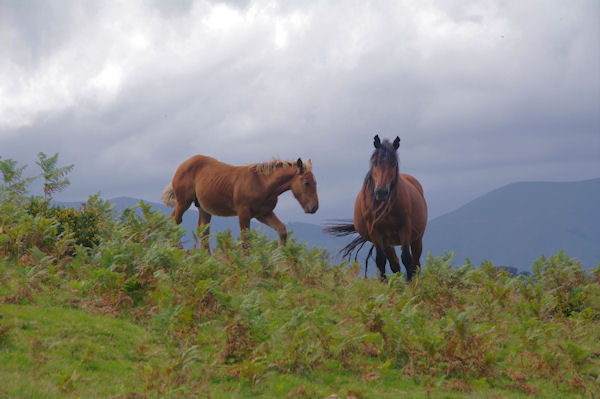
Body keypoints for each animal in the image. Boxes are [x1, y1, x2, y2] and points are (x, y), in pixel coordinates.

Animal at [159, 155, 318, 252]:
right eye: (306, 182)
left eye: (316, 183)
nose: (314, 208)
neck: (261, 183)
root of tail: (183, 164)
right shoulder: (244, 213)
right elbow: (246, 240)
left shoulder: (263, 214)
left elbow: (282, 230)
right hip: (183, 202)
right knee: (175, 222)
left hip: (203, 208)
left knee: (202, 232)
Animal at [324, 136, 426, 282]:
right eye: (375, 163)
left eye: (393, 163)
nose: (381, 192)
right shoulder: (375, 232)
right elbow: (381, 260)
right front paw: (385, 283)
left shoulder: (405, 228)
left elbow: (407, 258)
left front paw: (409, 284)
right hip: (387, 242)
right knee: (395, 264)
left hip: (417, 238)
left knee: (415, 263)